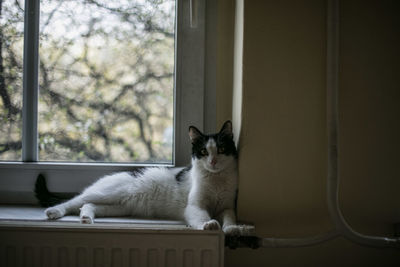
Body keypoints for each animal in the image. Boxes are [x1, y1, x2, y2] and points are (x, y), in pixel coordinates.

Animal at [36, 120, 244, 236]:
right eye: (203, 152)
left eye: (221, 149)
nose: (213, 161)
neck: (216, 179)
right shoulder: (195, 206)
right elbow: (201, 216)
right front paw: (209, 224)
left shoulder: (227, 205)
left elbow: (230, 216)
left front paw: (232, 228)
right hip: (109, 192)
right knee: (75, 200)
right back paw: (54, 211)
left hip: (119, 206)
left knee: (88, 205)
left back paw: (86, 217)